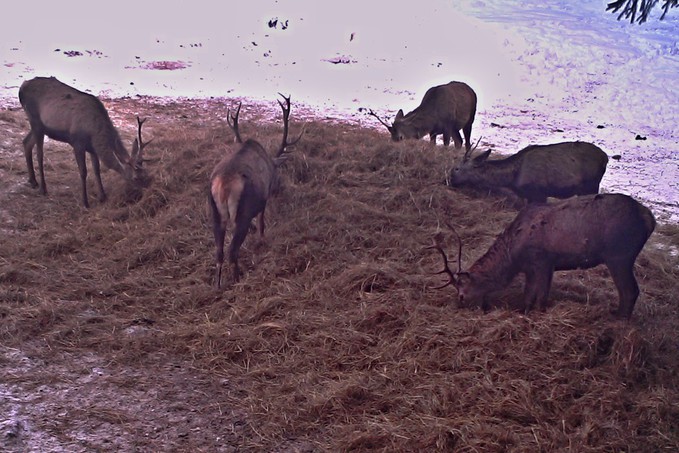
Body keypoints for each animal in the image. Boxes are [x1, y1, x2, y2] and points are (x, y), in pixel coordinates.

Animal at [18, 75, 151, 207]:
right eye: (135, 178)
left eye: (145, 174)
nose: (145, 192)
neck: (95, 134)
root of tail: (22, 87)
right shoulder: (77, 143)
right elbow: (83, 171)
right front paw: (85, 202)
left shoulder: (92, 148)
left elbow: (97, 170)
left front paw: (103, 196)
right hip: (35, 120)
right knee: (39, 154)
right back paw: (43, 188)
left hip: (41, 127)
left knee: (26, 142)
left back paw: (33, 181)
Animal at [207, 94, 302, 288]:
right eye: (277, 174)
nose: (277, 189)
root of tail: (224, 184)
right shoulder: (262, 202)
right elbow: (262, 223)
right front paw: (262, 239)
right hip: (242, 212)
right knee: (232, 251)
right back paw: (236, 280)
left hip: (215, 213)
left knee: (219, 251)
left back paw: (218, 285)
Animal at [430, 193, 660, 318]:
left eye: (462, 294)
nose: (459, 307)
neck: (514, 256)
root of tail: (649, 218)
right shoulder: (538, 267)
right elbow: (529, 297)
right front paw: (525, 312)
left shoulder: (542, 261)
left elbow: (540, 298)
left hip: (619, 255)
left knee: (630, 291)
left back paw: (619, 320)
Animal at [446, 141, 612, 203]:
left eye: (457, 168)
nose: (449, 179)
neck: (513, 178)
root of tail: (605, 157)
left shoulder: (538, 192)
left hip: (591, 184)